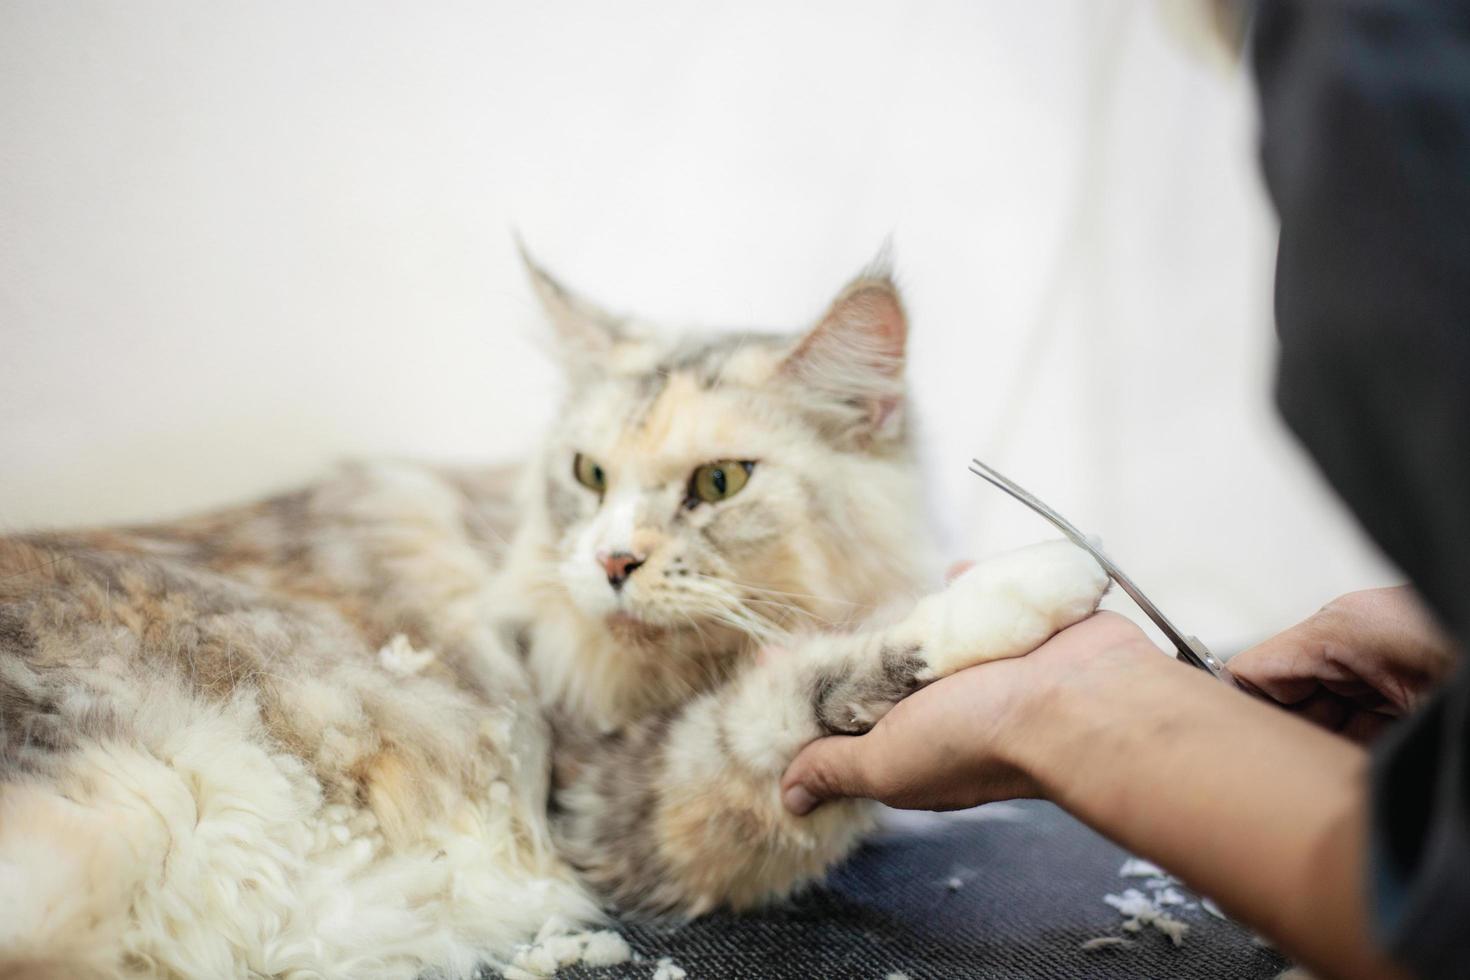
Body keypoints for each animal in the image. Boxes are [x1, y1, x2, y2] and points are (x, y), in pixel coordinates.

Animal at [0, 255, 1105, 980]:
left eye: (719, 482)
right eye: (590, 474)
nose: (612, 561)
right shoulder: (621, 800)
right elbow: (813, 683)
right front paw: (1043, 578)